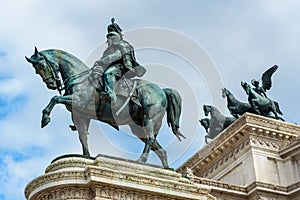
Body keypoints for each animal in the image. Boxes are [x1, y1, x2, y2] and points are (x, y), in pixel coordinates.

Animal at [26, 47, 185, 168]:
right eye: (36, 70)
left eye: (42, 65)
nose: (51, 84)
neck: (80, 79)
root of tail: (162, 90)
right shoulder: (81, 115)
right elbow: (82, 136)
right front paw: (86, 157)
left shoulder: (79, 101)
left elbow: (55, 98)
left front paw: (45, 118)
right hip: (139, 126)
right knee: (157, 147)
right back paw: (166, 169)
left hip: (149, 118)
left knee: (150, 139)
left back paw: (141, 161)